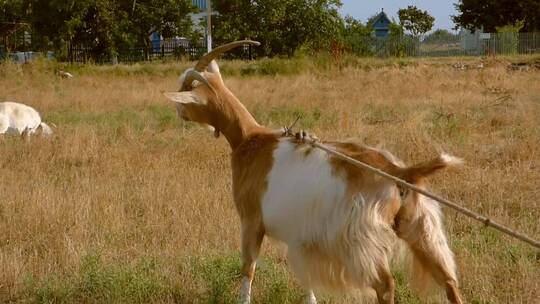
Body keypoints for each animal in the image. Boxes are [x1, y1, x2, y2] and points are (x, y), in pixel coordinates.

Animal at [166, 41, 464, 304]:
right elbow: (307, 280)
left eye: (187, 91)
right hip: (422, 228)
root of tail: (398, 171)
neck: (249, 140)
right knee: (449, 281)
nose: (178, 109)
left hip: (360, 239)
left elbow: (248, 269)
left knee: (385, 285)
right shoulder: (300, 238)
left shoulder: (251, 221)